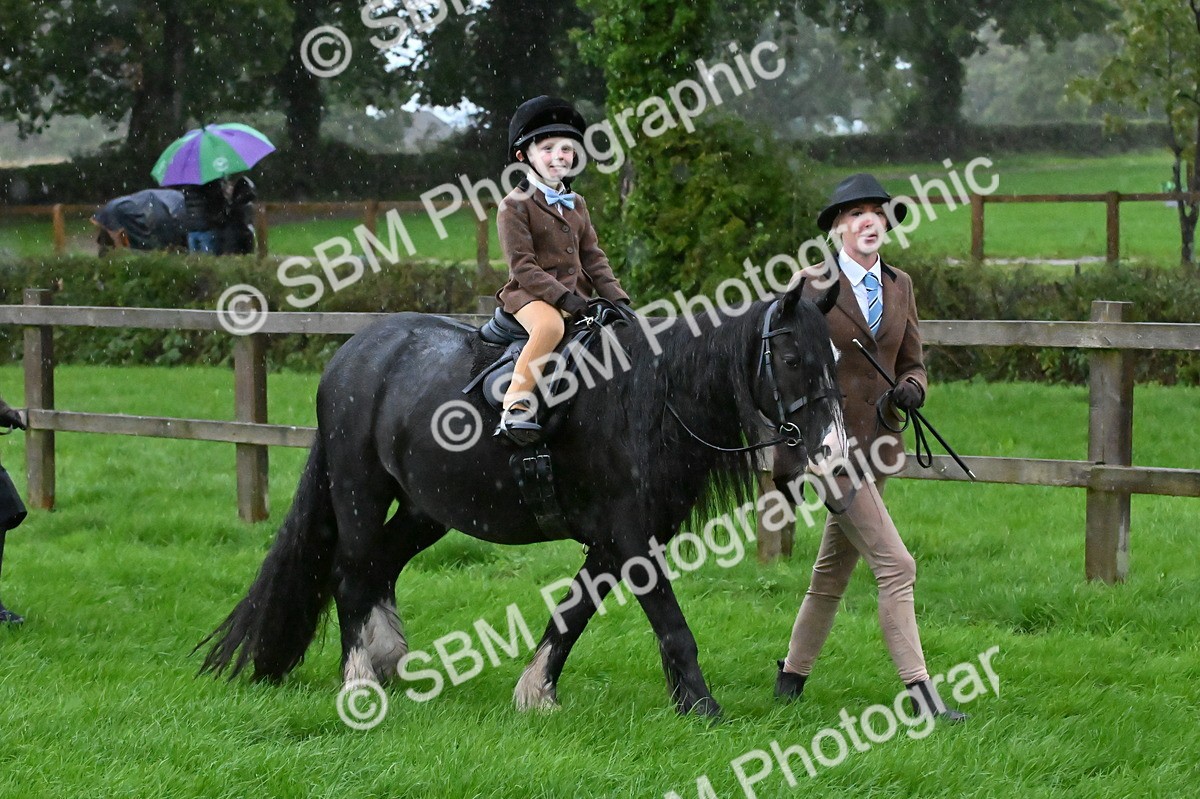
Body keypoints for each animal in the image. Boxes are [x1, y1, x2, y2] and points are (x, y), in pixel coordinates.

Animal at [198, 279, 844, 717]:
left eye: (836, 359)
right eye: (792, 359)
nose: (834, 451)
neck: (645, 400)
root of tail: (353, 354)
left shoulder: (612, 542)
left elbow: (572, 614)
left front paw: (536, 693)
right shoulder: (630, 538)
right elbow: (671, 621)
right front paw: (703, 706)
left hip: (426, 509)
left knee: (380, 565)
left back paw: (388, 662)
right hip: (360, 490)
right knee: (352, 573)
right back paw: (359, 680)